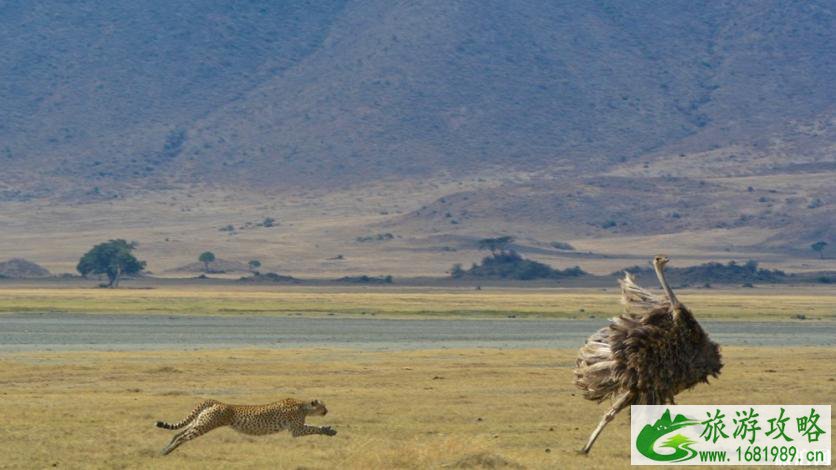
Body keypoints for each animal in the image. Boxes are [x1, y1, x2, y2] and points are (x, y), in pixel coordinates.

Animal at [155, 398, 338, 454]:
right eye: (323, 406)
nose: (327, 411)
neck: (304, 405)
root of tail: (215, 401)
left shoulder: (297, 427)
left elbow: (314, 426)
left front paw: (329, 429)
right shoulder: (296, 430)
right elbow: (312, 428)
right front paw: (329, 430)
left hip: (200, 421)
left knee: (178, 433)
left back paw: (165, 448)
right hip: (205, 425)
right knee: (183, 437)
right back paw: (167, 451)